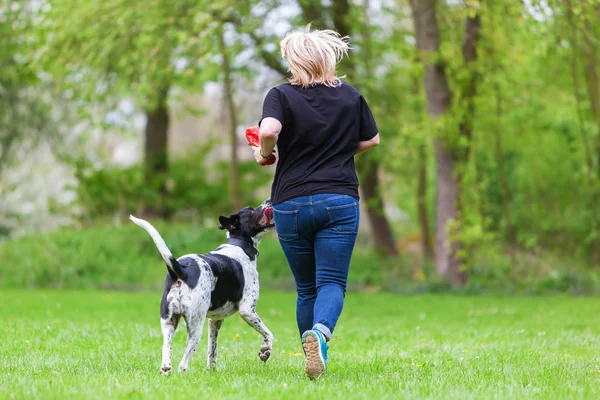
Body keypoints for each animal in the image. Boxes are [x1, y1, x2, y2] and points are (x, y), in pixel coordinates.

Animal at [130, 200, 276, 376]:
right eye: (251, 210)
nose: (268, 200)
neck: (238, 246)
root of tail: (182, 271)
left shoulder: (215, 320)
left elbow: (212, 352)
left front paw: (211, 371)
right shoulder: (247, 310)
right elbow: (269, 334)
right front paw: (265, 351)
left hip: (169, 323)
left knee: (166, 349)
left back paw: (166, 368)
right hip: (195, 326)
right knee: (183, 362)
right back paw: (184, 372)